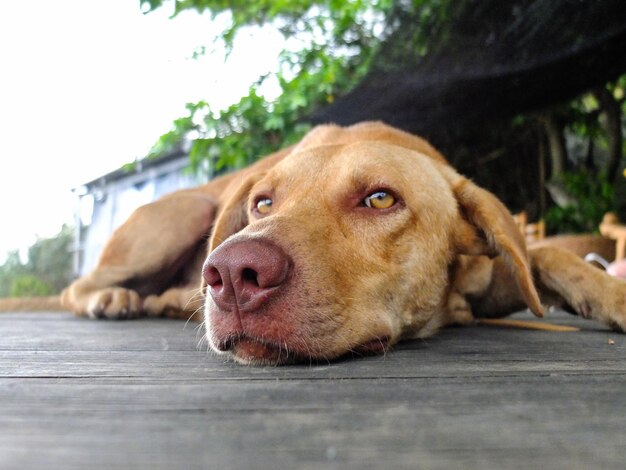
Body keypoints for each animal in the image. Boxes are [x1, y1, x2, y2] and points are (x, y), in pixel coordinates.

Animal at [59, 120, 624, 364]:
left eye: (380, 198)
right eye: (262, 203)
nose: (233, 275)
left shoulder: (486, 275)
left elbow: (545, 252)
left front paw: (611, 294)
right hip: (188, 212)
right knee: (76, 286)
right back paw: (115, 297)